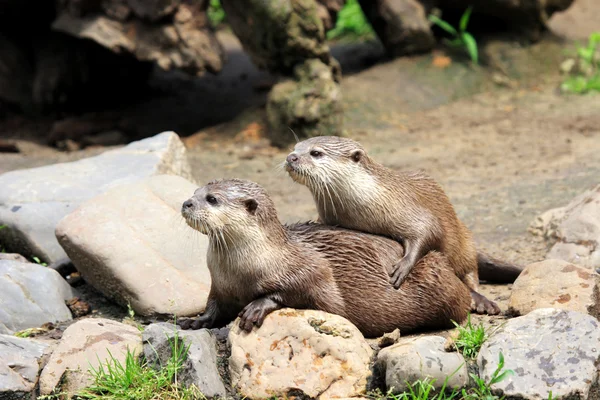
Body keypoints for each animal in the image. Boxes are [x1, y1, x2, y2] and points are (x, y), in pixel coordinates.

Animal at [176, 178, 472, 338]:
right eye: (195, 192)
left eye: (212, 199)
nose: (186, 203)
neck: (242, 269)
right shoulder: (220, 285)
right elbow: (214, 306)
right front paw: (196, 321)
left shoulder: (313, 270)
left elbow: (312, 292)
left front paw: (258, 305)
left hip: (435, 278)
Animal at [286, 136, 520, 314]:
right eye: (296, 147)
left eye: (316, 153)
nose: (291, 157)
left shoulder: (409, 209)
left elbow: (429, 230)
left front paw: (402, 267)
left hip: (465, 244)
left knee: (471, 274)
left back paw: (480, 301)